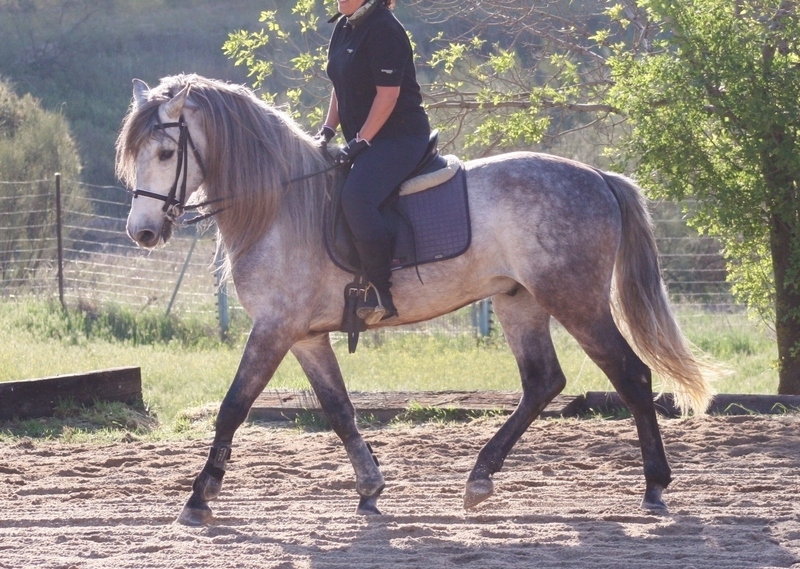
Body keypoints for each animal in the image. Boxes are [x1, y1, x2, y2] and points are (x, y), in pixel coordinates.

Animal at [116, 74, 714, 526]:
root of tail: (598, 177)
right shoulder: (305, 335)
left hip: (576, 300)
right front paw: (370, 490)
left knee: (631, 376)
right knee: (543, 382)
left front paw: (199, 498)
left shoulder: (274, 327)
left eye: (166, 152)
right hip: (520, 302)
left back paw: (655, 487)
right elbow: (339, 410)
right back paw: (479, 480)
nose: (142, 233)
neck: (281, 204)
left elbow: (233, 407)